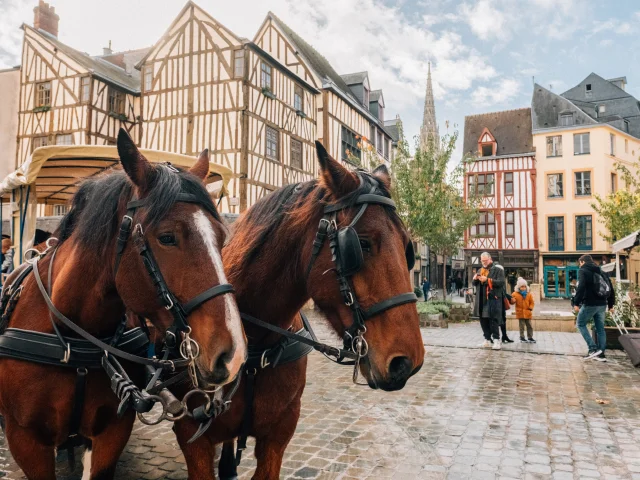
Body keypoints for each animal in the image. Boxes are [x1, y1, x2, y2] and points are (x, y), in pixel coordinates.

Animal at [0, 129, 246, 479]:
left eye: (221, 238)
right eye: (167, 237)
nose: (233, 354)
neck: (71, 336)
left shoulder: (112, 431)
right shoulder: (26, 442)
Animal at [173, 141, 425, 479]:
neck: (254, 347)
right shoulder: (193, 439)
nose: (408, 363)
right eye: (360, 244)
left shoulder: (278, 435)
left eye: (407, 247)